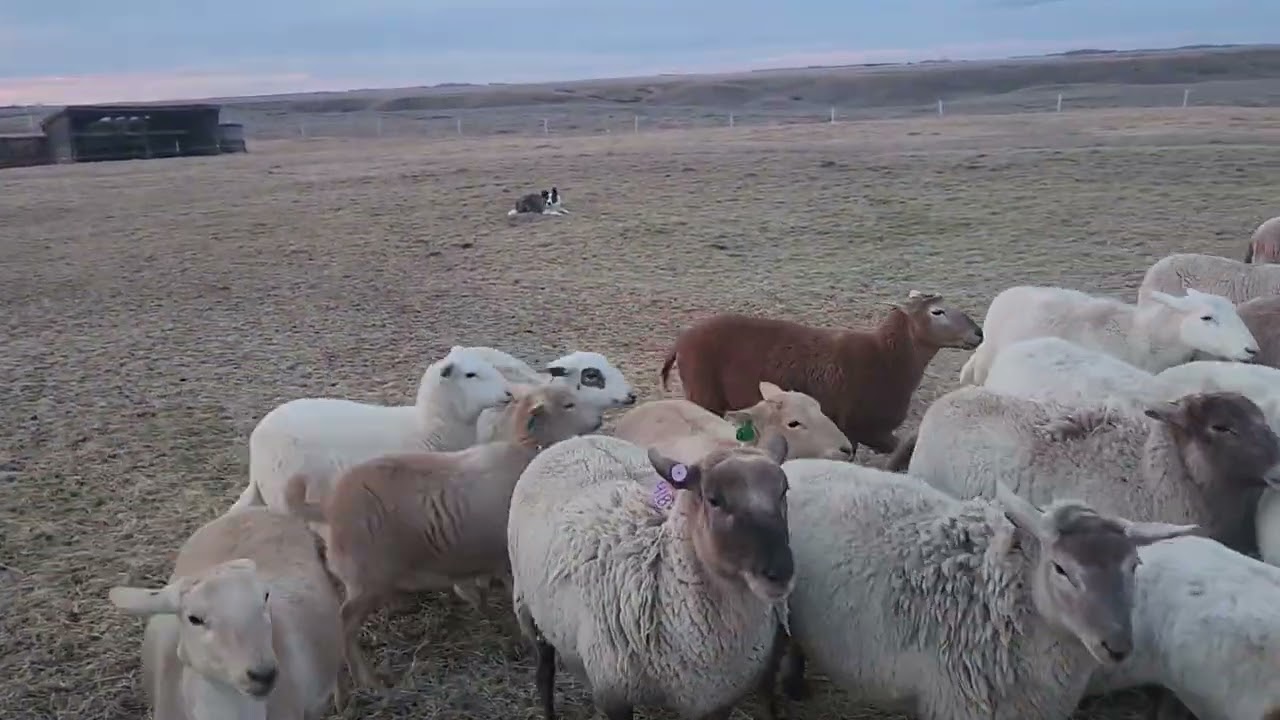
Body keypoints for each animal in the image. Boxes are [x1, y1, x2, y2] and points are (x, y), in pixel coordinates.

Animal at [284, 382, 603, 691]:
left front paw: (483, 608)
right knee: (345, 623)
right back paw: (364, 682)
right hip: (368, 577)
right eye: (568, 404)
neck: (525, 451)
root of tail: (329, 505)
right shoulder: (510, 556)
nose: (599, 420)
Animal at [508, 433, 794, 720]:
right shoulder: (614, 694)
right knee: (544, 673)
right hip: (528, 608)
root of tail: (576, 438)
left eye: (783, 492)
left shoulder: (716, 700)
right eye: (715, 500)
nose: (780, 573)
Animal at [659, 289, 983, 456]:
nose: (979, 333)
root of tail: (680, 341)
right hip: (704, 395)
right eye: (937, 312)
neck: (886, 358)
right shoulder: (861, 428)